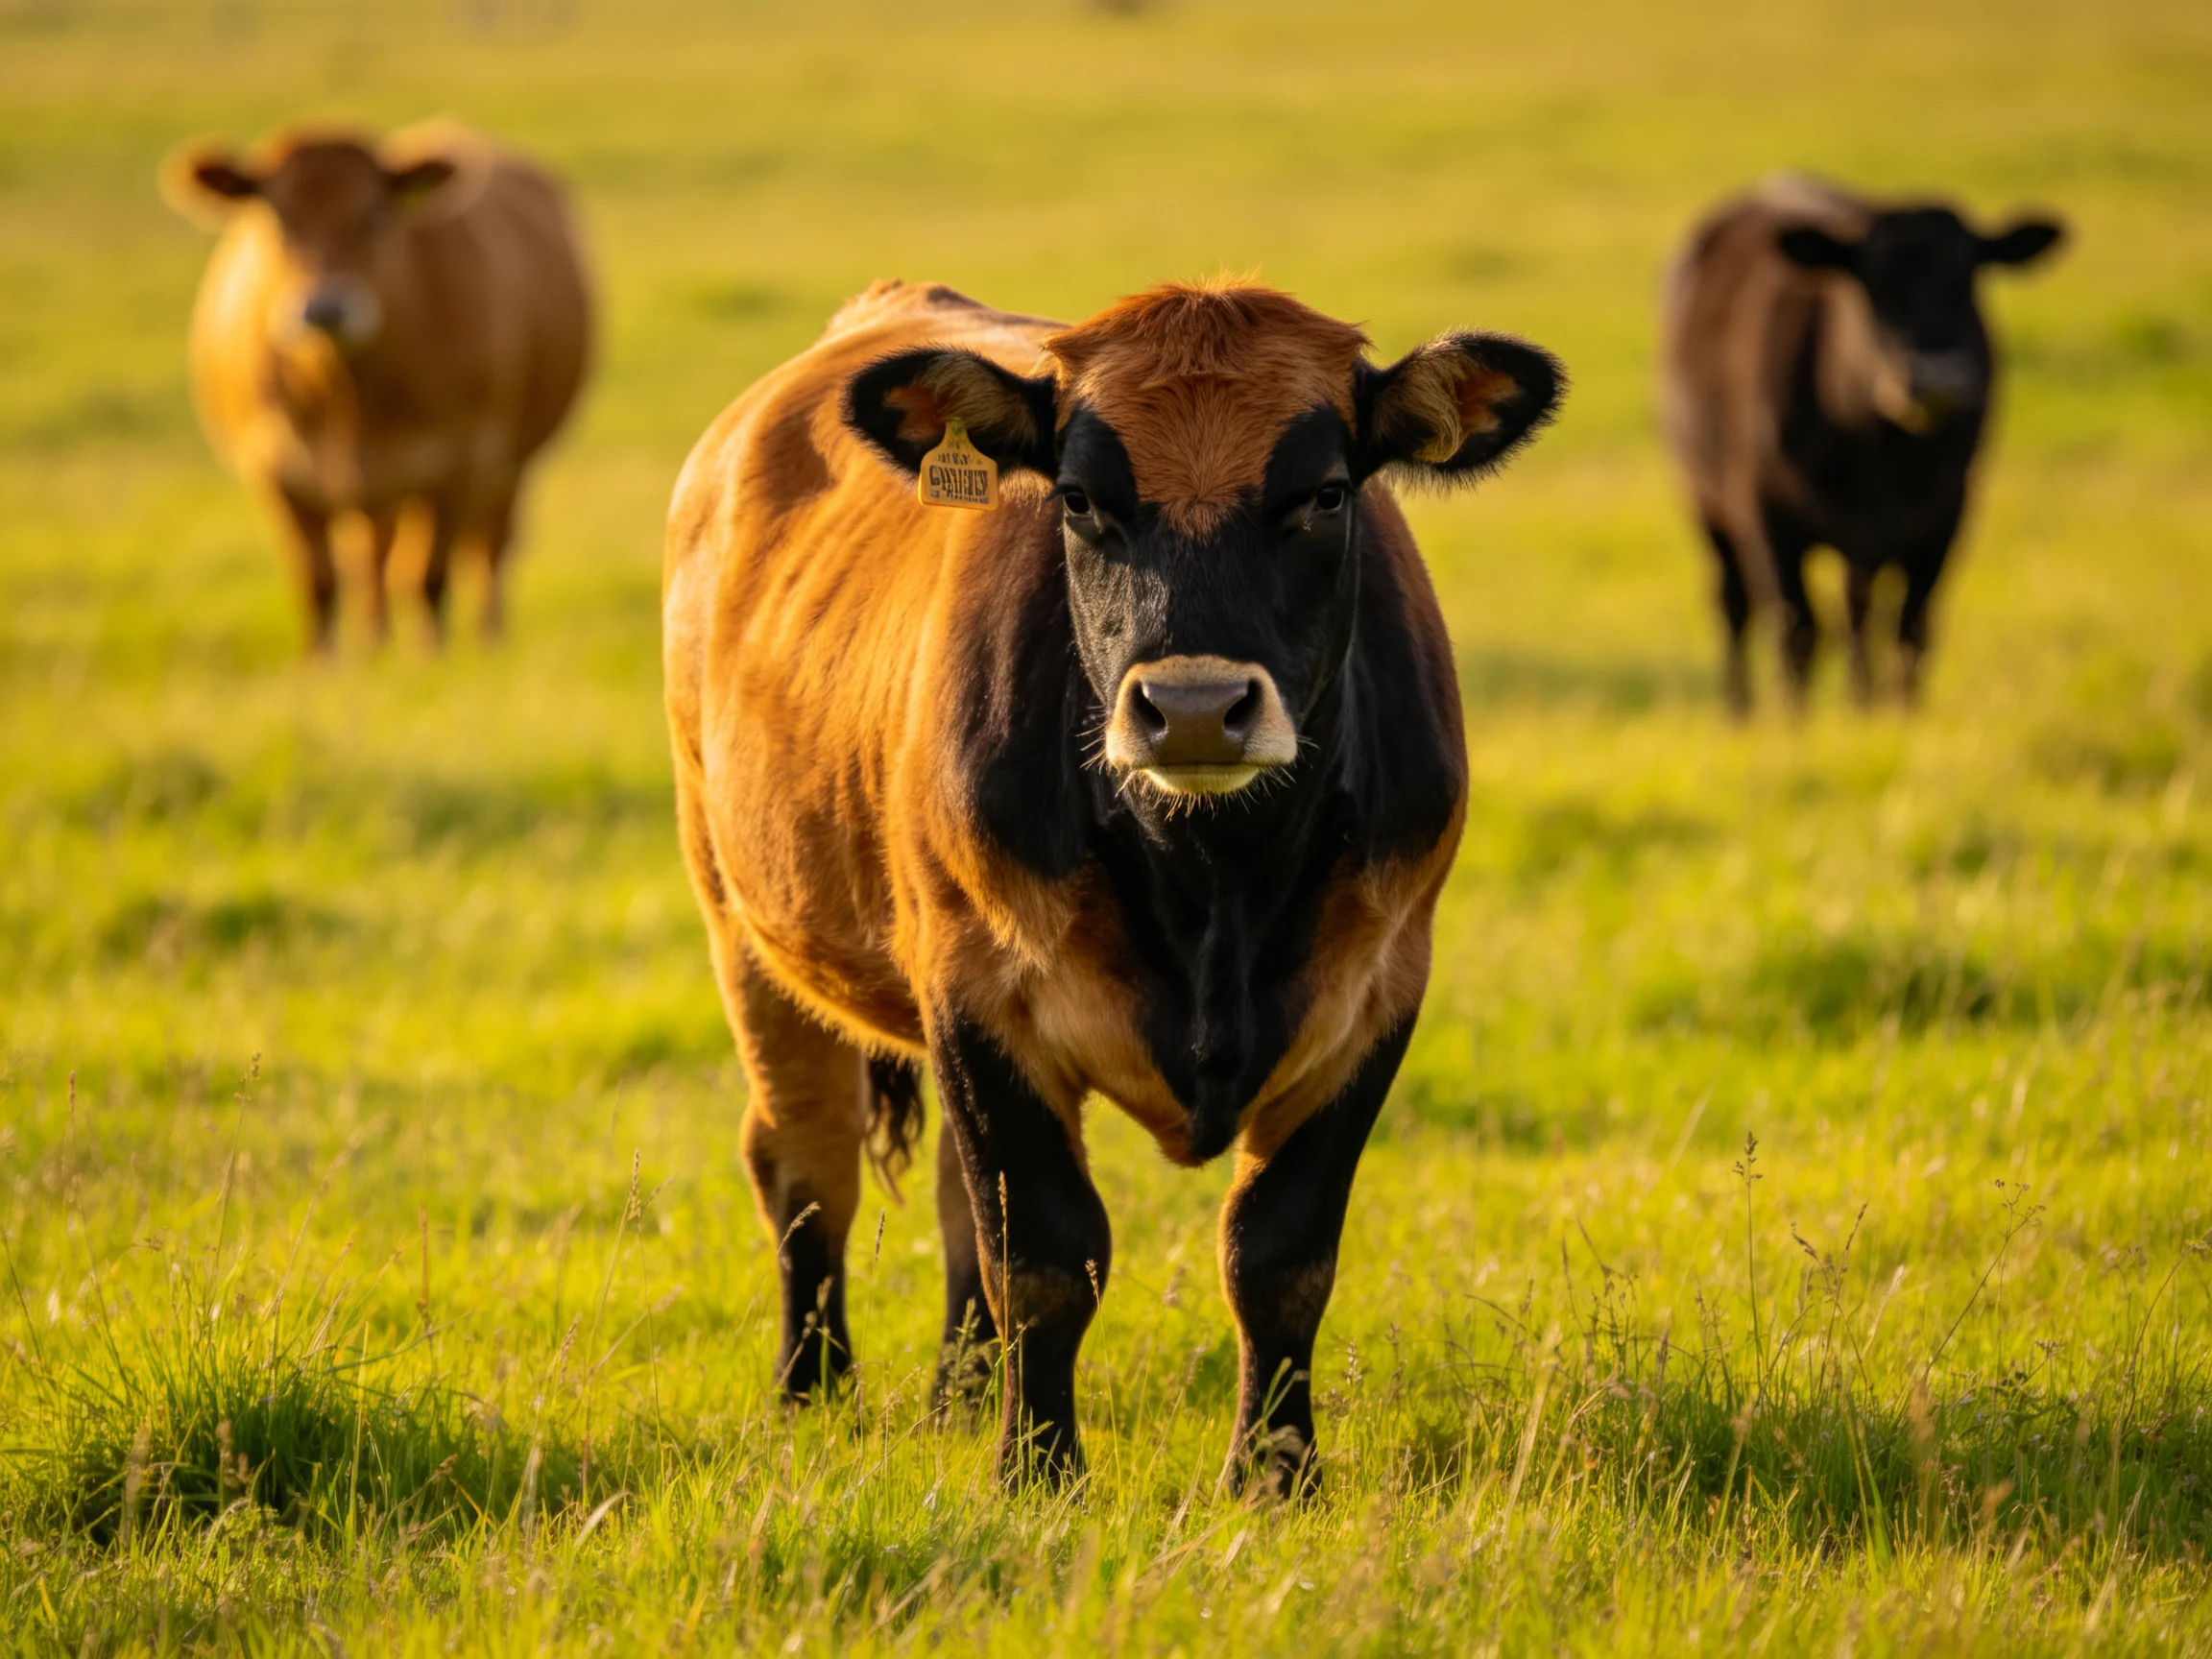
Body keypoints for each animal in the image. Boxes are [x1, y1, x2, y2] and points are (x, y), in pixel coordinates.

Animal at [161, 121, 592, 650]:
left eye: (375, 216)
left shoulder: (462, 459)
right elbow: (320, 581)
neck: (347, 393)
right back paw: (374, 643)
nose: (326, 308)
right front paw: (323, 662)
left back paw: (484, 640)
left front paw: (432, 657)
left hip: (512, 466)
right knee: (374, 557)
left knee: (486, 550)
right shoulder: (276, 465)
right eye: (278, 217)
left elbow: (429, 576)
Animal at [664, 278, 1562, 1491]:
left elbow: (1279, 1255)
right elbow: (1045, 1253)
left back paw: (960, 1396)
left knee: (949, 1192)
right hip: (745, 927)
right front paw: (1037, 1473)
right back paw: (813, 1393)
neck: (1214, 881)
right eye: (1082, 498)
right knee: (807, 1166)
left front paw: (1275, 1476)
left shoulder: (1379, 987)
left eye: (1327, 494)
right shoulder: (976, 986)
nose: (1194, 708)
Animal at [1659, 176, 2063, 712]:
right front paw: (1796, 722)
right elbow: (1796, 629)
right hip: (1706, 499)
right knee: (1735, 604)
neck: (1878, 451)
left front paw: (1896, 717)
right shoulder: (1764, 514)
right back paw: (1740, 710)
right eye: (1873, 285)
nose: (1935, 383)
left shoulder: (1946, 515)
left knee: (1858, 612)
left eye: (1968, 279)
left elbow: (1910, 628)